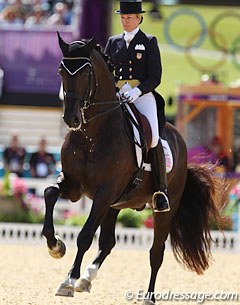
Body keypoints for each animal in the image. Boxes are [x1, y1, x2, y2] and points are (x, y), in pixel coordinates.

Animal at [40, 32, 219, 302]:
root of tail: (179, 139)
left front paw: (68, 280)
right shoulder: (74, 186)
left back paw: (148, 296)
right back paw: (87, 278)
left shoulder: (104, 192)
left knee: (156, 251)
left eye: (85, 73)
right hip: (115, 204)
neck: (92, 135)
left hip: (162, 208)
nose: (71, 119)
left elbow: (84, 235)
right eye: (61, 71)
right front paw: (56, 246)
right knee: (108, 242)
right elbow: (50, 192)